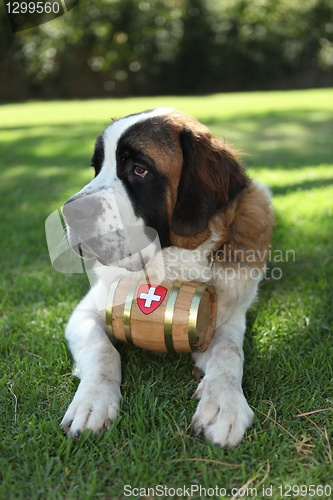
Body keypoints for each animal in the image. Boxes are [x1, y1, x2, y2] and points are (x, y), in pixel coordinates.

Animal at [61, 107, 274, 448]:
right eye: (97, 168)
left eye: (139, 170)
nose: (70, 212)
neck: (170, 266)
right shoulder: (85, 312)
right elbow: (102, 349)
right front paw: (92, 401)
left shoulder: (228, 317)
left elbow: (229, 351)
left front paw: (224, 403)